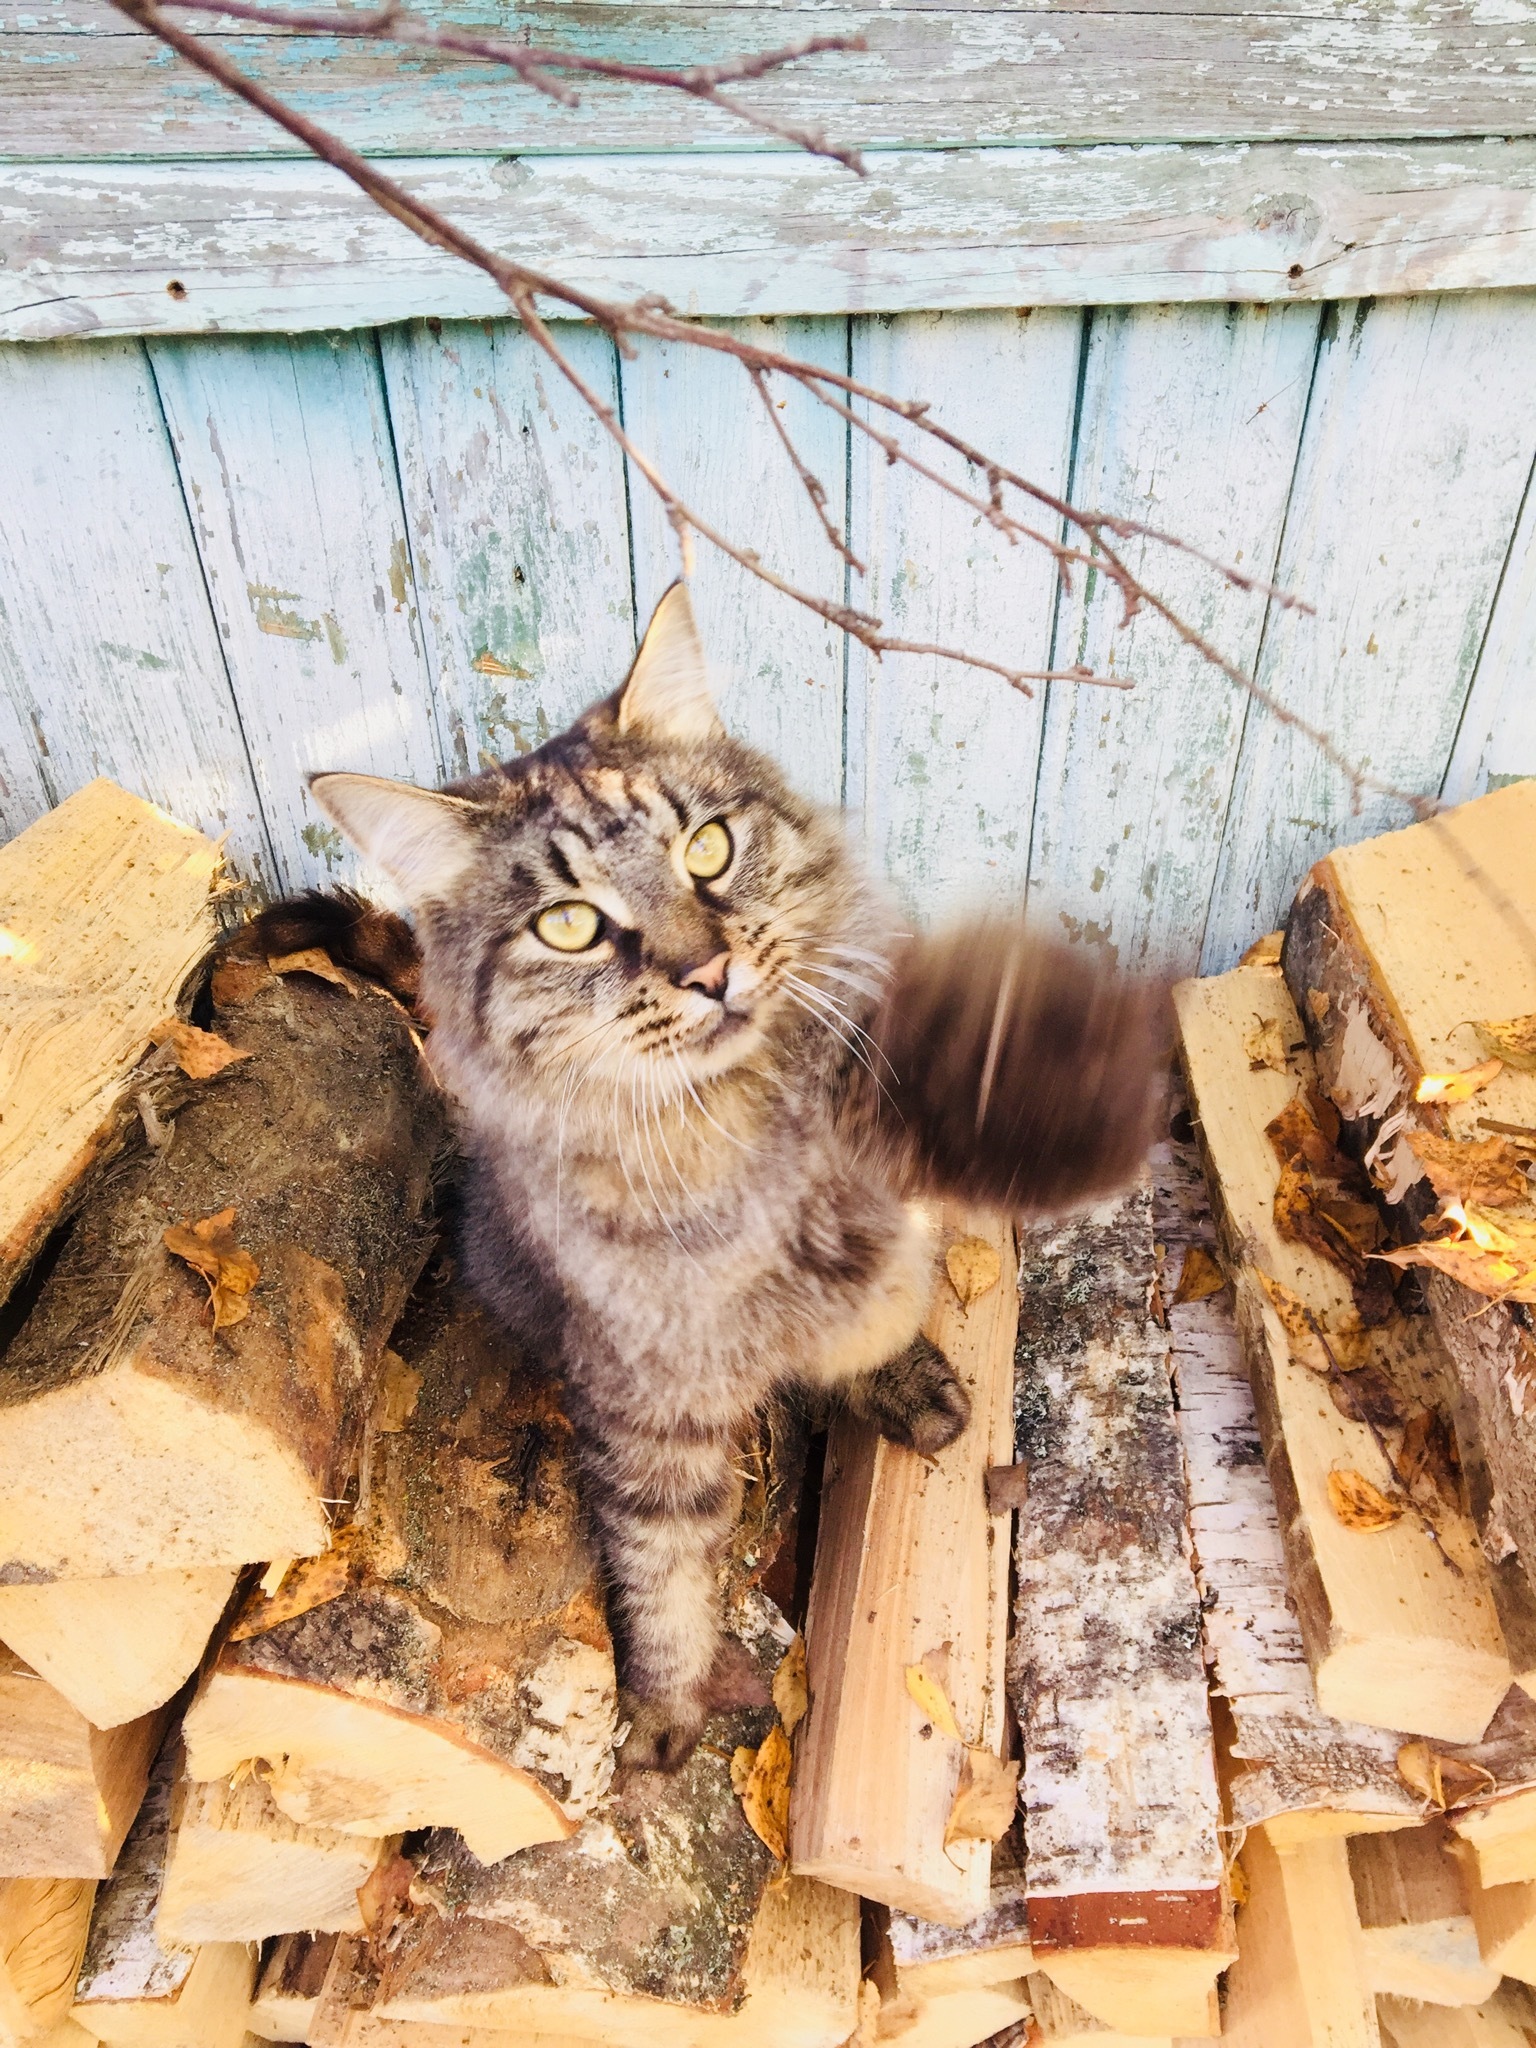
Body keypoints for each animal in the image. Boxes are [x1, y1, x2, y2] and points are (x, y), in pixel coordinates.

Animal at [270, 585, 1163, 1769]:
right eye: (569, 924)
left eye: (708, 848)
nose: (708, 971)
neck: (725, 1127)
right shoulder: (647, 1385)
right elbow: (660, 1559)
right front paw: (663, 1705)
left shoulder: (872, 1181)